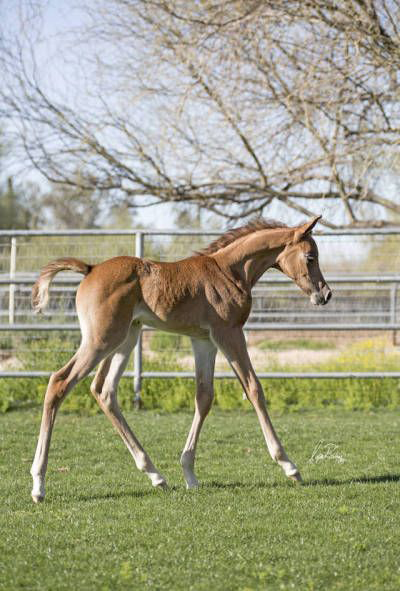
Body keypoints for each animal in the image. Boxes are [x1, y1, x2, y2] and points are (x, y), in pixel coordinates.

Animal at [30, 215, 332, 502]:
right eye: (310, 257)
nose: (325, 294)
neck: (230, 272)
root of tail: (90, 268)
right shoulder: (229, 333)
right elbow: (253, 389)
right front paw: (289, 466)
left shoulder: (203, 341)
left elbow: (204, 396)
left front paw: (189, 473)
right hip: (101, 340)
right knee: (60, 382)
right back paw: (38, 484)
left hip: (126, 337)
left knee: (104, 390)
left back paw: (155, 475)